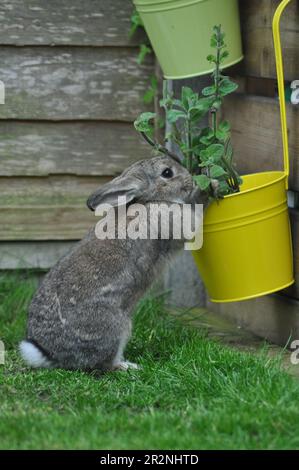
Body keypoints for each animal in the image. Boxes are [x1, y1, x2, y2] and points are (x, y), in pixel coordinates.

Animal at [19, 156, 210, 372]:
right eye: (167, 173)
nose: (190, 180)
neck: (150, 200)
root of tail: (51, 354)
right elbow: (194, 214)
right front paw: (209, 188)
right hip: (114, 327)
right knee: (104, 364)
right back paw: (129, 366)